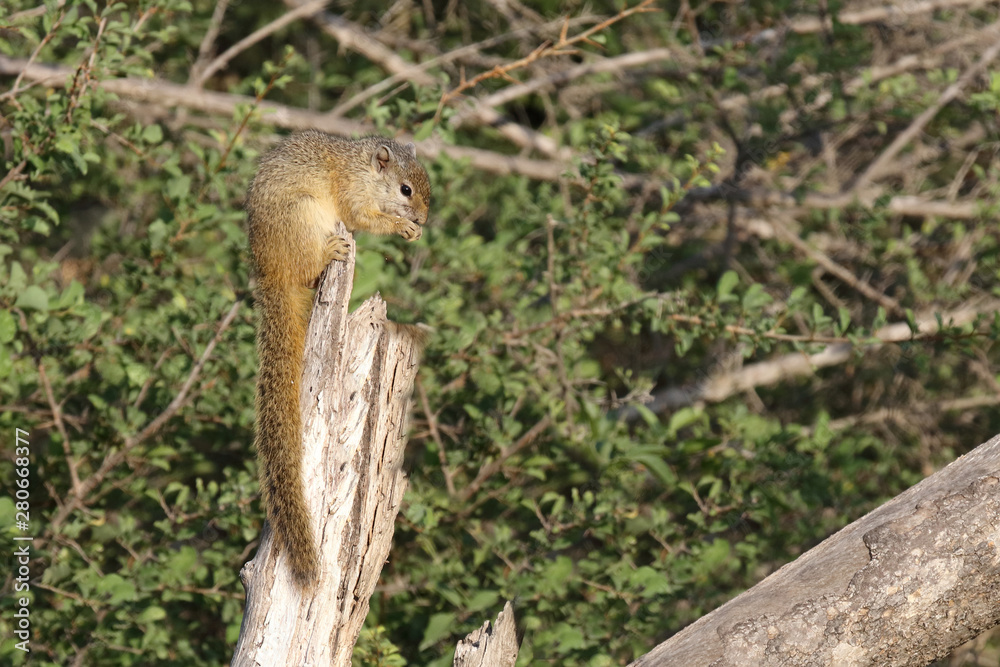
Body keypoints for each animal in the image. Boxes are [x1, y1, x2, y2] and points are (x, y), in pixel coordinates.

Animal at [245, 131, 431, 586]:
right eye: (406, 189)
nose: (423, 218)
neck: (362, 168)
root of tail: (270, 274)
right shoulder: (352, 195)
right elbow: (364, 217)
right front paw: (401, 226)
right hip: (302, 217)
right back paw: (331, 251)